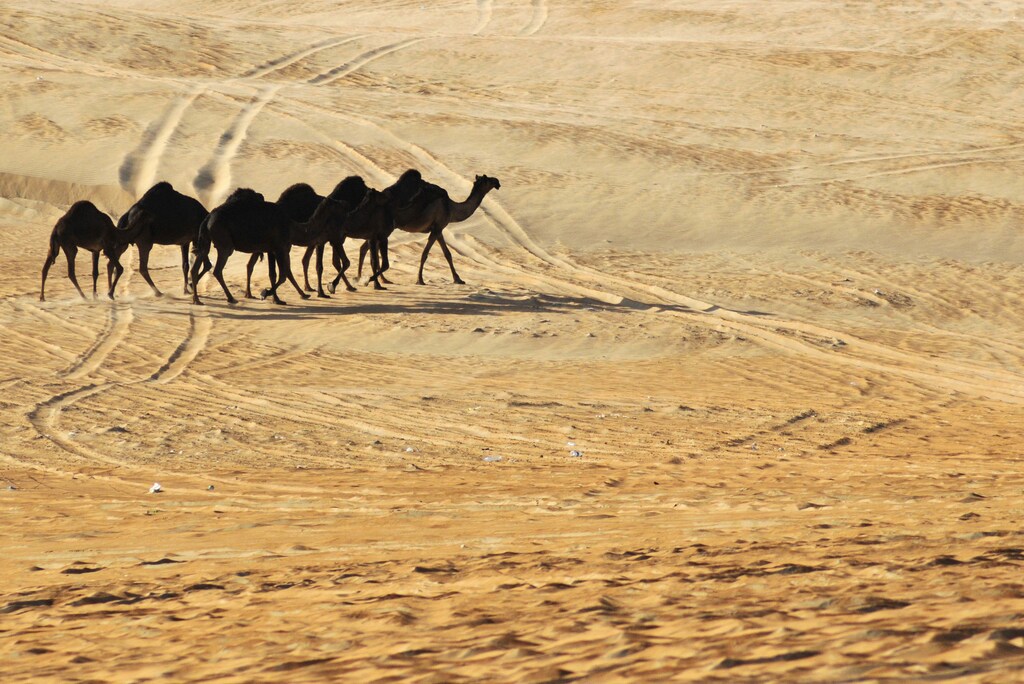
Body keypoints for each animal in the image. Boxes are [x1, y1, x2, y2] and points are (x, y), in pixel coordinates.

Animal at [357, 171, 501, 285]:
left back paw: (372, 279)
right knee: (369, 248)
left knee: (365, 248)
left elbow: (447, 254)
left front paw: (458, 279)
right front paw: (420, 280)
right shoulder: (437, 228)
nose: (497, 182)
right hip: (386, 227)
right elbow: (425, 254)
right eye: (487, 179)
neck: (451, 207)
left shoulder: (439, 229)